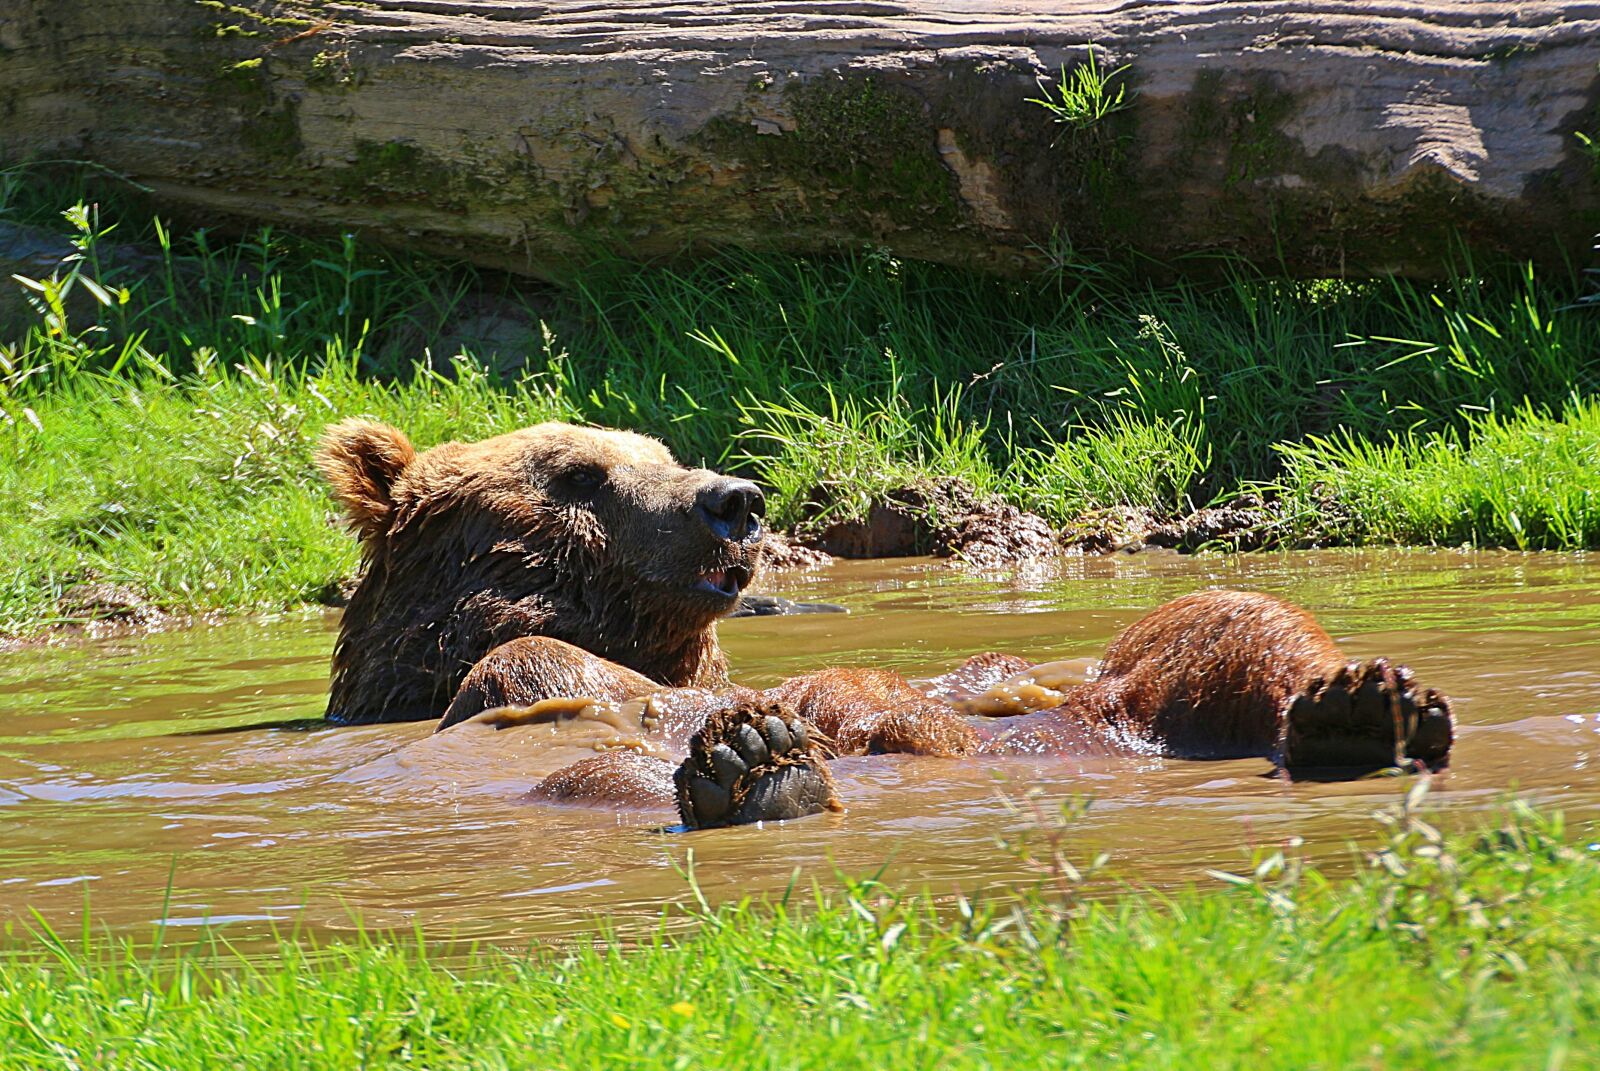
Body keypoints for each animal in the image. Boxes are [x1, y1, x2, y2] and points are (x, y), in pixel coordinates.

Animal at [318, 419, 1455, 830]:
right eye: (579, 472)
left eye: (660, 449)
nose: (732, 497)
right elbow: (539, 683)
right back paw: (759, 771)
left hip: (1131, 692)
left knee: (1231, 622)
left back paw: (1362, 706)